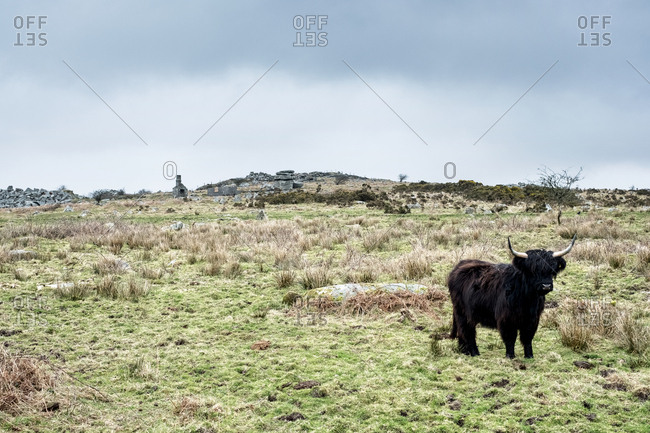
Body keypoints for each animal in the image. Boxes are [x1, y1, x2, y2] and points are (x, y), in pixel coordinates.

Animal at [448, 235, 576, 359]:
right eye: (533, 270)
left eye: (552, 270)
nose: (546, 286)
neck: (528, 299)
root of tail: (459, 266)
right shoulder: (506, 319)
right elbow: (510, 338)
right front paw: (510, 356)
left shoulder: (532, 320)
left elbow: (527, 338)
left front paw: (529, 356)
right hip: (463, 313)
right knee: (467, 331)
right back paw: (474, 352)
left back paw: (465, 351)